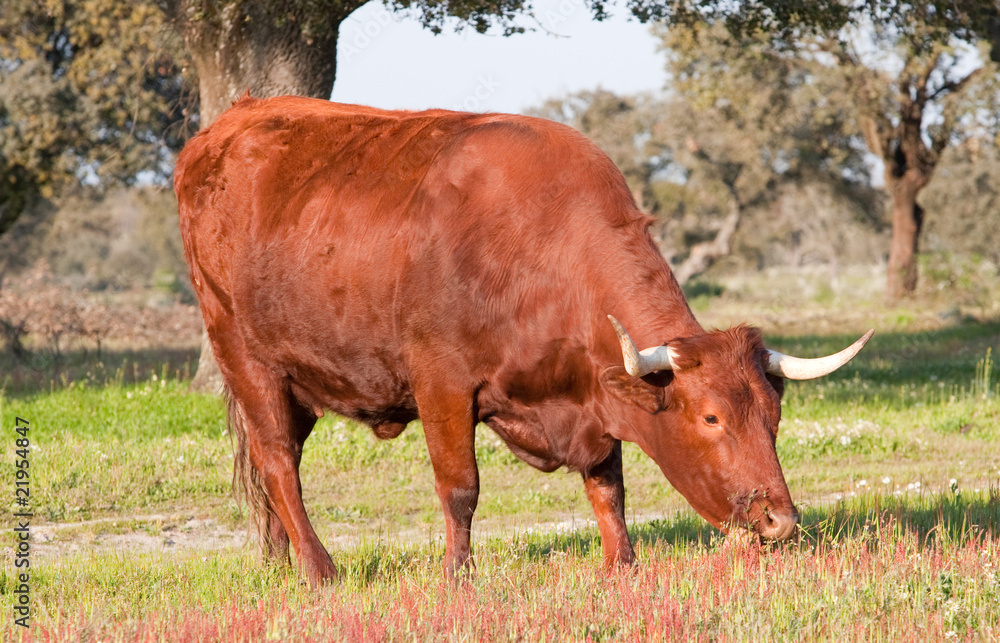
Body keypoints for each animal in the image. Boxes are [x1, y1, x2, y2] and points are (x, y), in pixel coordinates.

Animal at [174, 95, 872, 586]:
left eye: (774, 416)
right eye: (710, 417)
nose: (780, 520)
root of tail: (228, 125)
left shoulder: (594, 398)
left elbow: (607, 484)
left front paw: (622, 566)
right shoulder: (442, 382)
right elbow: (460, 488)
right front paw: (459, 578)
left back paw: (285, 562)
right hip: (246, 357)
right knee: (278, 462)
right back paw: (320, 572)